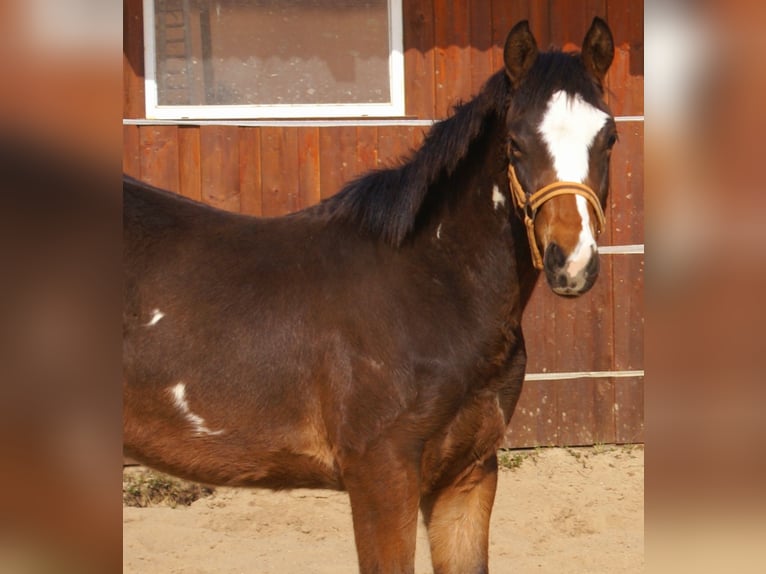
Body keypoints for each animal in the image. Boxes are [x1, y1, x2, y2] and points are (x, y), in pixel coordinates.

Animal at [123, 17, 616, 574]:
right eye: (515, 142)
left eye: (610, 138)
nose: (570, 262)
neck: (427, 289)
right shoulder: (381, 474)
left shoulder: (468, 475)